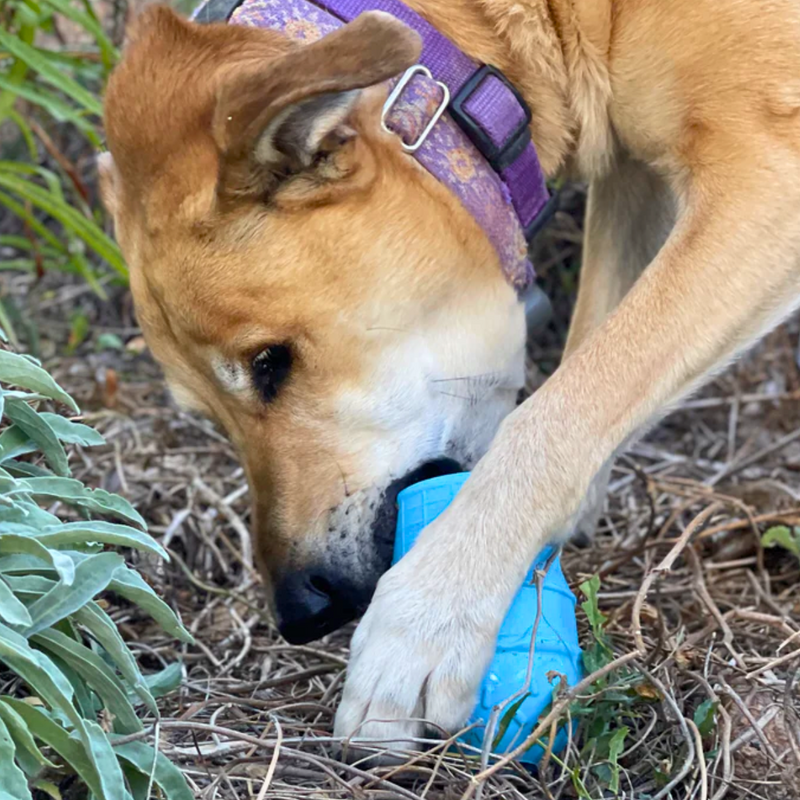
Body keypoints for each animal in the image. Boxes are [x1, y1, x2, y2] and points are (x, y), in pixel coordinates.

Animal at [100, 0, 800, 752]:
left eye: (269, 362)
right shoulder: (636, 180)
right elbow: (589, 356)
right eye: (206, 415)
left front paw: (428, 619)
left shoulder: (765, 177)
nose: (299, 611)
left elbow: (557, 410)